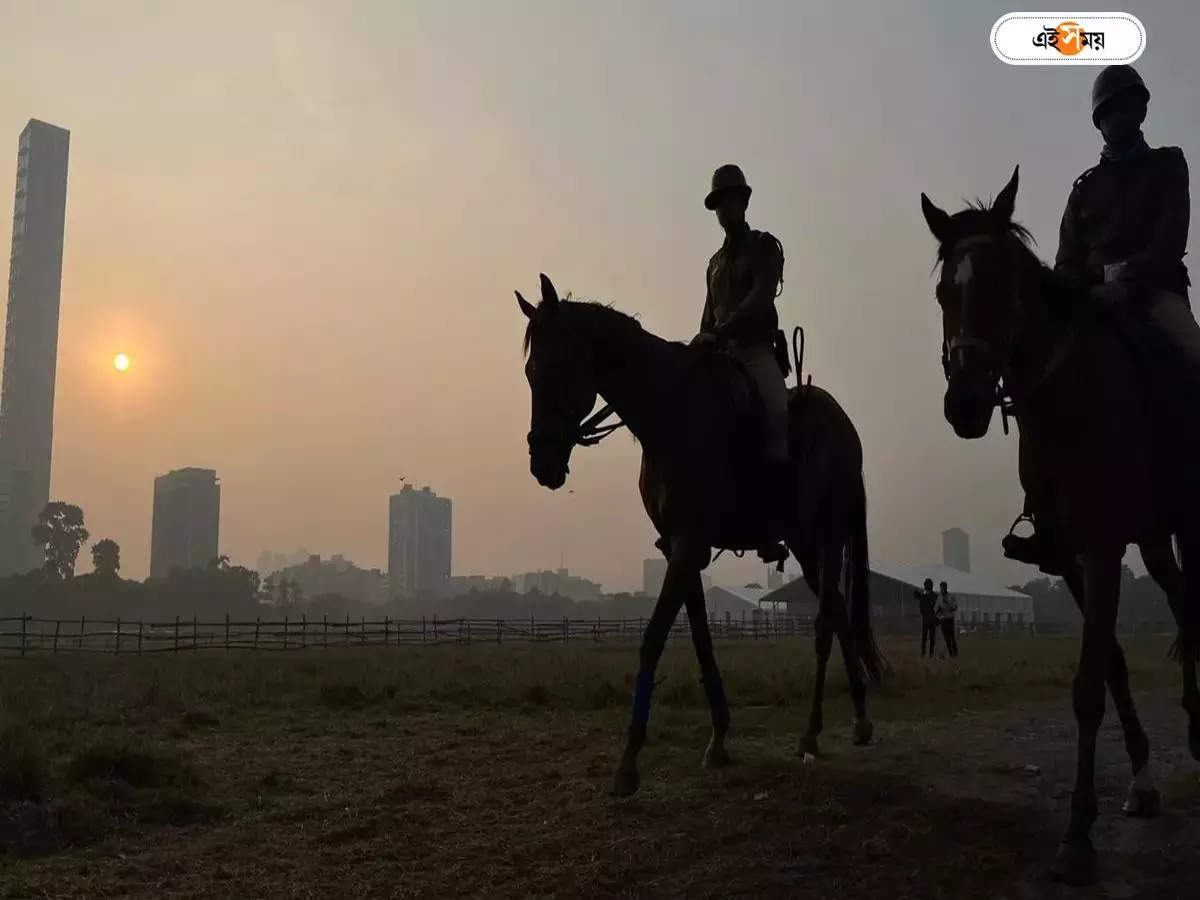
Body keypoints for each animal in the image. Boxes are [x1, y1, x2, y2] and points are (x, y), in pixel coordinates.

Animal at [516, 274, 883, 796]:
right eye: (530, 372)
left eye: (556, 366)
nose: (542, 463)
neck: (669, 415)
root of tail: (846, 429)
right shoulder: (679, 547)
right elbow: (702, 639)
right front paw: (719, 739)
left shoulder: (689, 545)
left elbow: (653, 638)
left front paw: (628, 761)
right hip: (806, 548)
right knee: (836, 614)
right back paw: (857, 719)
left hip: (828, 539)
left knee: (823, 625)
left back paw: (812, 733)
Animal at [916, 169, 1200, 888]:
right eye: (945, 292)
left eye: (1003, 285)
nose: (965, 405)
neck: (1070, 400)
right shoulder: (1074, 557)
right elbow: (1112, 667)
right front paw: (1141, 784)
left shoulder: (1101, 549)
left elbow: (1087, 687)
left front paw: (1077, 836)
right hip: (1153, 541)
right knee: (1182, 604)